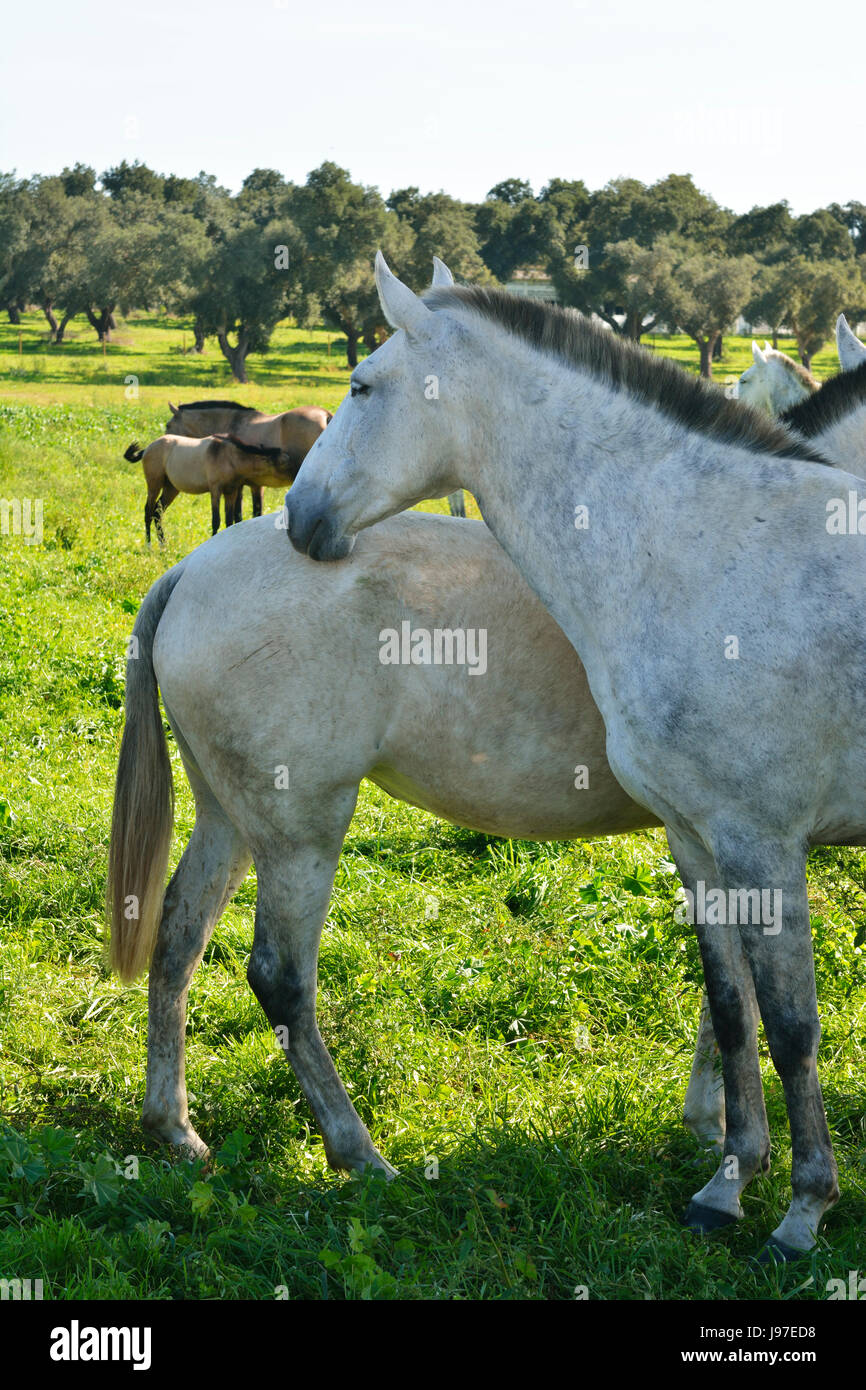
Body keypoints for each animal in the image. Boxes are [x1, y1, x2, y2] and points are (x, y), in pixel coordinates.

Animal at [123, 434, 293, 542]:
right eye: (283, 463)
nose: (294, 474)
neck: (229, 457)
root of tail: (147, 449)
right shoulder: (215, 490)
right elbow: (216, 520)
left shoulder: (231, 492)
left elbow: (229, 520)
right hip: (154, 484)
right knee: (148, 511)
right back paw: (149, 545)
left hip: (171, 488)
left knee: (157, 512)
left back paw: (163, 545)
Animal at [164, 400, 332, 521]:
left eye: (168, 424)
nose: (164, 439)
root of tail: (325, 415)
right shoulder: (255, 485)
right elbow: (255, 512)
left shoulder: (237, 486)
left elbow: (236, 516)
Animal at [286, 253, 866, 1259]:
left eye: (361, 386)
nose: (294, 514)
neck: (709, 551)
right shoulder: (698, 840)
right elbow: (733, 1009)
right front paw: (728, 1182)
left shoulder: (765, 843)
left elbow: (793, 1025)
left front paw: (802, 1210)